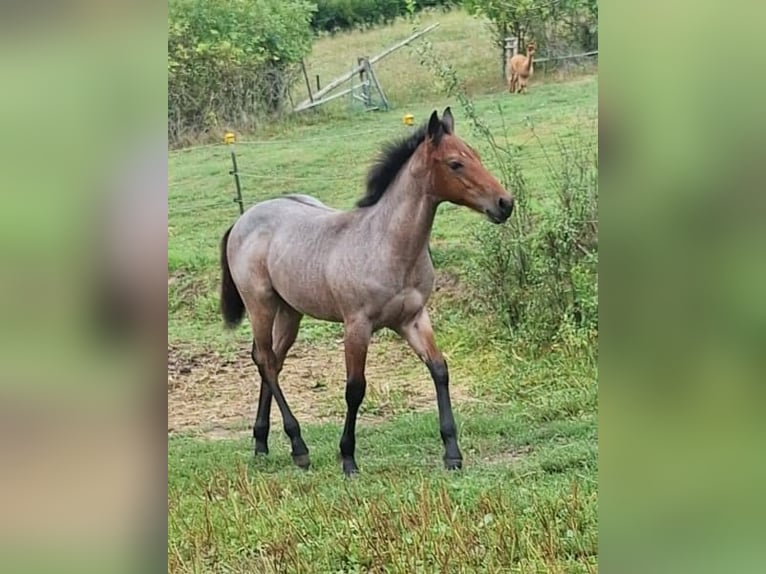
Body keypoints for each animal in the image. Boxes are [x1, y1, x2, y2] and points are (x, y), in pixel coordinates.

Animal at [219, 108, 513, 476]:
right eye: (456, 163)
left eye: (476, 155)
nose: (505, 203)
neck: (387, 244)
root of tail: (243, 219)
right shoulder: (357, 325)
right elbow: (355, 388)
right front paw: (347, 458)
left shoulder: (414, 319)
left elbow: (439, 369)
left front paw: (452, 453)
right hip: (260, 304)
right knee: (266, 362)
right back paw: (299, 447)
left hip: (290, 311)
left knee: (269, 359)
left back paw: (262, 443)